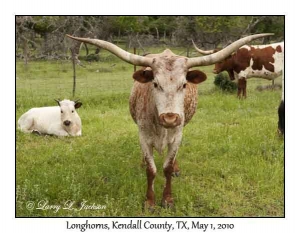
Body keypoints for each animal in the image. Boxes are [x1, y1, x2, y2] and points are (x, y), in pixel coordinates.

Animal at [67, 32, 274, 209]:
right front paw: (149, 201)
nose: (170, 118)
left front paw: (167, 199)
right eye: (155, 83)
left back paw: (176, 168)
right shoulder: (143, 136)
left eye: (184, 84)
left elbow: (166, 168)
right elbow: (151, 170)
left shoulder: (177, 136)